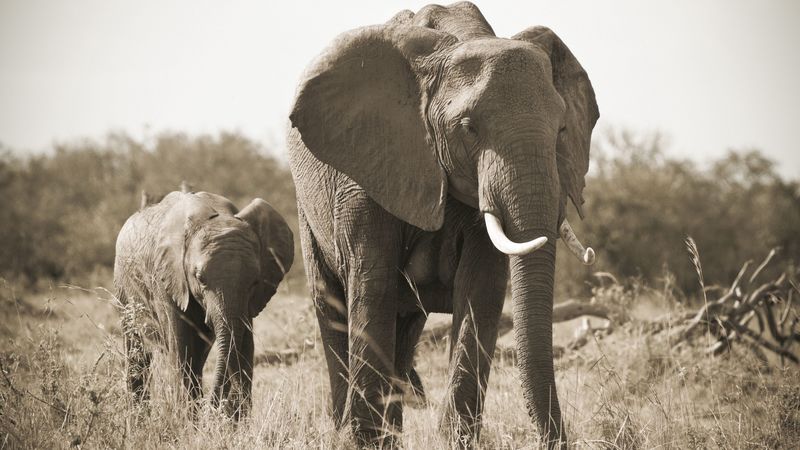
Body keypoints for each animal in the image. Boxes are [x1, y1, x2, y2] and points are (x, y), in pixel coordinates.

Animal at [113, 191, 294, 417]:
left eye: (254, 281)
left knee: (197, 359)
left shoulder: (248, 301)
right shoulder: (166, 278)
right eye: (199, 278)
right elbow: (181, 347)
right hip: (124, 287)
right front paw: (188, 422)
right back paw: (139, 418)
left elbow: (243, 345)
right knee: (137, 350)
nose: (214, 408)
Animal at [287, 2, 598, 447]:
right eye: (469, 128)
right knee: (331, 303)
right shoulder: (367, 168)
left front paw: (456, 440)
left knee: (405, 325)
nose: (554, 439)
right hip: (306, 206)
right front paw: (359, 441)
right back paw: (344, 427)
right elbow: (371, 283)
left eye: (562, 130)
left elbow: (481, 287)